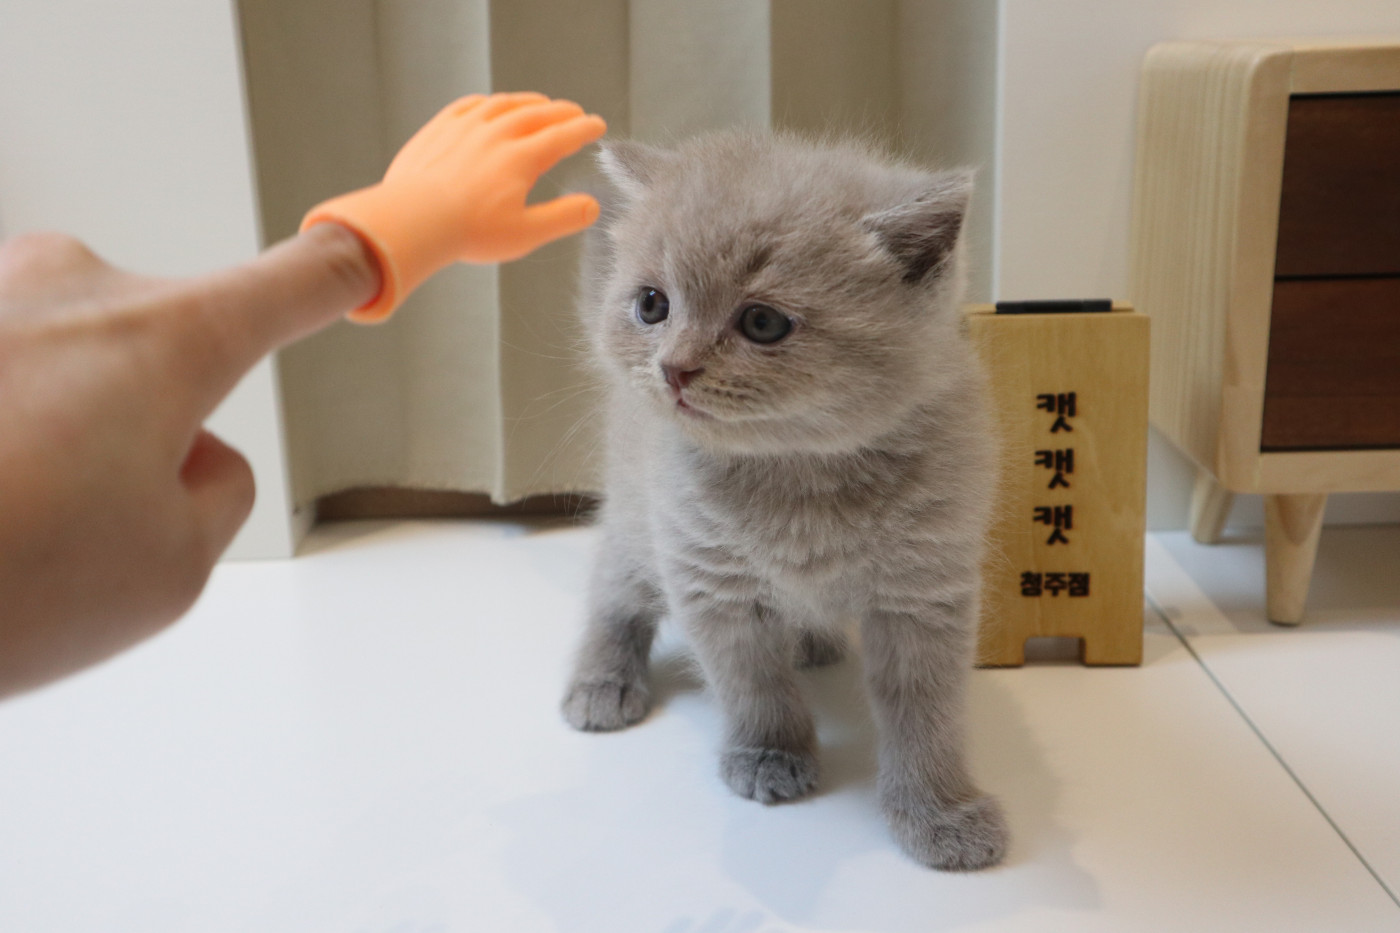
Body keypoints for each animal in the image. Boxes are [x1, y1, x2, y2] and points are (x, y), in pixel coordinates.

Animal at [561, 130, 1007, 872]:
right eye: (652, 305)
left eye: (763, 322)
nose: (673, 368)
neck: (798, 479)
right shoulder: (708, 576)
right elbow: (751, 682)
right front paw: (768, 755)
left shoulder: (925, 591)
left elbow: (927, 711)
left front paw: (940, 812)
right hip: (633, 512)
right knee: (612, 591)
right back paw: (600, 683)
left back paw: (814, 641)